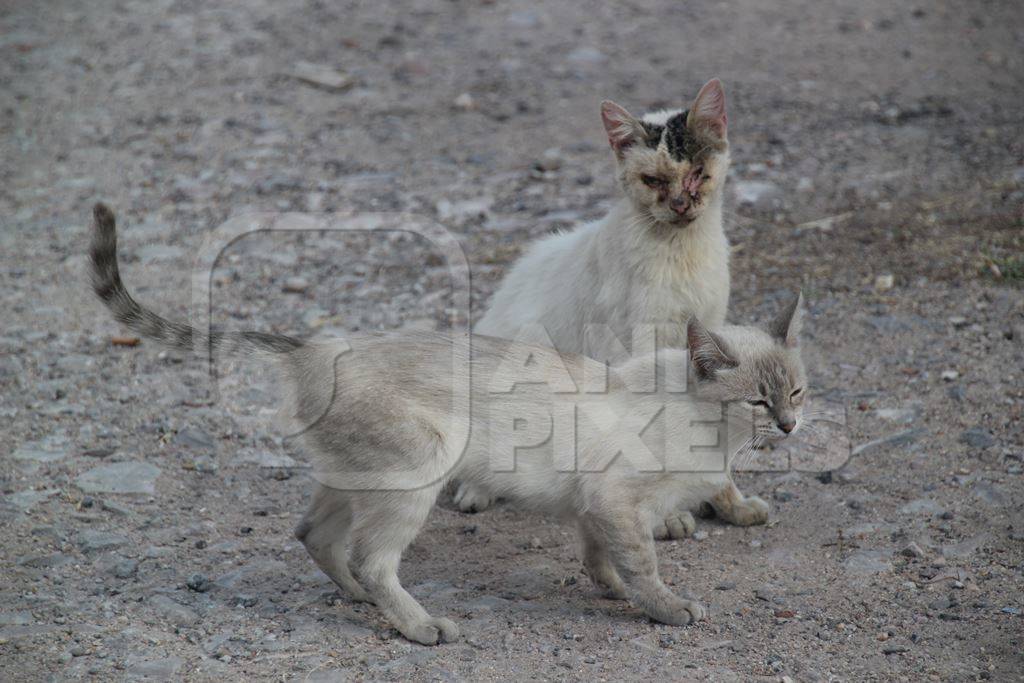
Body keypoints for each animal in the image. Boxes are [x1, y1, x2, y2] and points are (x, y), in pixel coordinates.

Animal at [88, 202, 806, 647]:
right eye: (756, 402)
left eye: (797, 391)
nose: (791, 425)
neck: (714, 441)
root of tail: (315, 347)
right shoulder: (617, 500)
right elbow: (644, 566)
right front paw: (665, 608)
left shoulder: (594, 505)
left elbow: (600, 557)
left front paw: (606, 589)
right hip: (417, 473)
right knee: (373, 557)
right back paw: (419, 625)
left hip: (356, 477)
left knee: (315, 534)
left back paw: (358, 598)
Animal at [460, 80, 757, 540]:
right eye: (653, 180)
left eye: (697, 173)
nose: (680, 204)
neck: (680, 254)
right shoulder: (635, 349)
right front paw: (666, 517)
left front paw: (729, 502)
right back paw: (478, 488)